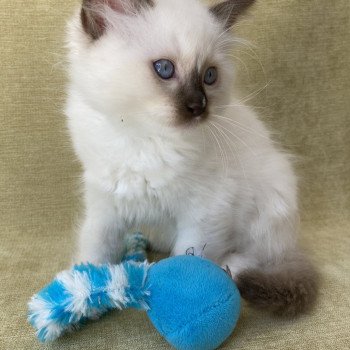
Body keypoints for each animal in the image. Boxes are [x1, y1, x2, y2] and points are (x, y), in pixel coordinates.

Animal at [66, 0, 320, 318]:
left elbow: (188, 256)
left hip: (271, 202)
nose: (199, 106)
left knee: (260, 258)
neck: (145, 140)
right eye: (164, 69)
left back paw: (232, 271)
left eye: (209, 76)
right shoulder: (105, 205)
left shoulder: (206, 212)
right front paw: (82, 296)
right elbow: (94, 249)